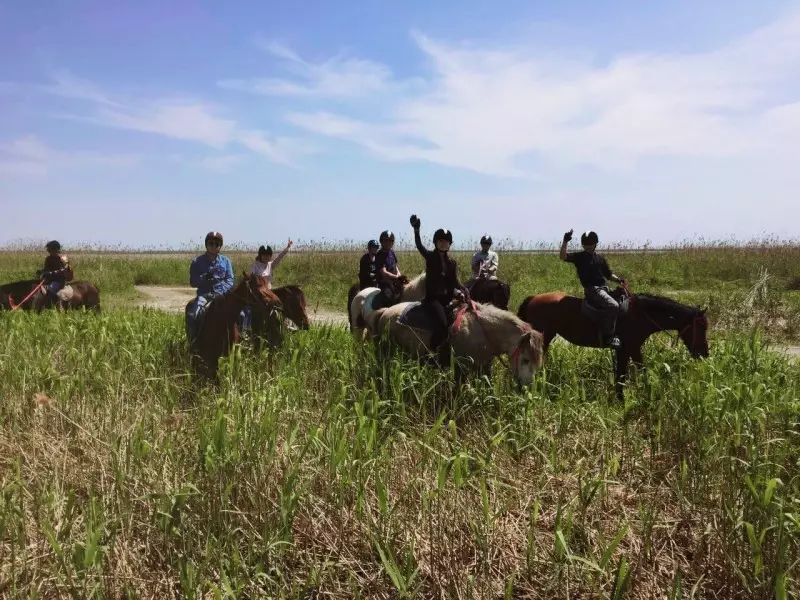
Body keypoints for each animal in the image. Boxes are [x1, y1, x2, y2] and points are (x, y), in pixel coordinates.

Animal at [368, 300, 544, 390]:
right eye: (526, 359)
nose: (526, 387)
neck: (482, 330)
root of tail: (385, 311)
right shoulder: (462, 368)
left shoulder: (484, 366)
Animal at [520, 290, 712, 398]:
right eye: (701, 327)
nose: (704, 353)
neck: (641, 314)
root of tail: (533, 298)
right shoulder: (625, 349)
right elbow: (622, 376)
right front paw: (621, 400)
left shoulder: (633, 348)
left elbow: (640, 370)